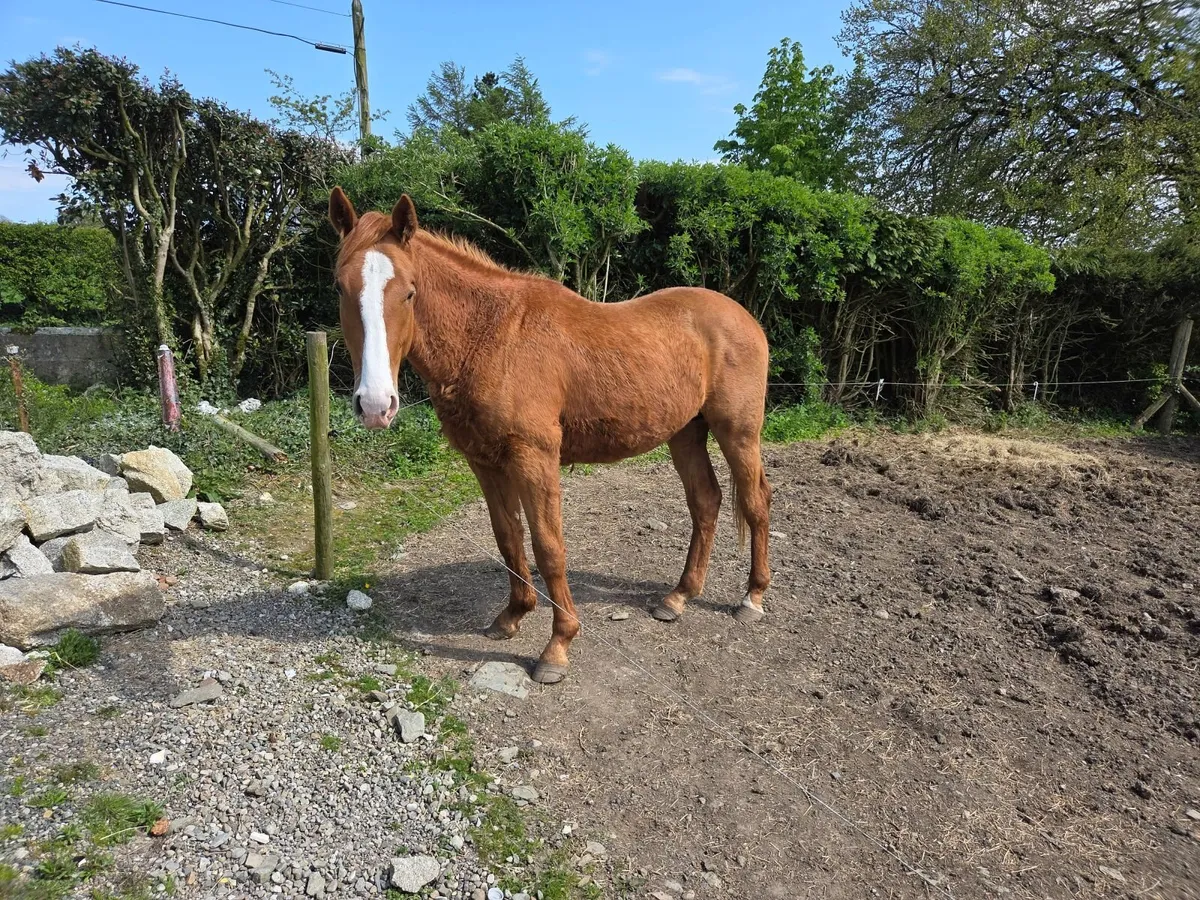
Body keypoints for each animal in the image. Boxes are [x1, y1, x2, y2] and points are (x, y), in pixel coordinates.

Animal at [328, 187, 773, 685]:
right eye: (340, 288)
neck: (493, 338)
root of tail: (744, 317)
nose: (374, 404)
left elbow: (548, 547)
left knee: (754, 501)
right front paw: (512, 616)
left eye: (408, 291)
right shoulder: (484, 461)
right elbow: (508, 536)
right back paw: (678, 597)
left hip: (738, 432)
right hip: (685, 433)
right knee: (706, 501)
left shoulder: (534, 458)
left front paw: (557, 647)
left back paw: (752, 598)